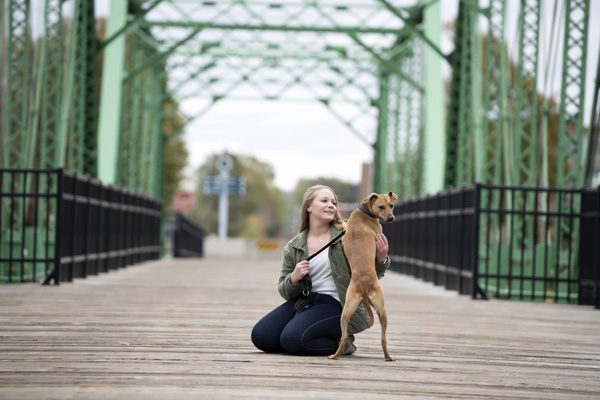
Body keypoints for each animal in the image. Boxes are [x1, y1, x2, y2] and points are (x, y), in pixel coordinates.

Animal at [330, 191, 396, 362]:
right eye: (381, 207)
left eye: (391, 205)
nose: (391, 218)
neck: (365, 212)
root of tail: (365, 286)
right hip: (382, 311)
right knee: (383, 339)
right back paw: (389, 357)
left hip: (346, 311)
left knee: (343, 336)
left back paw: (335, 355)